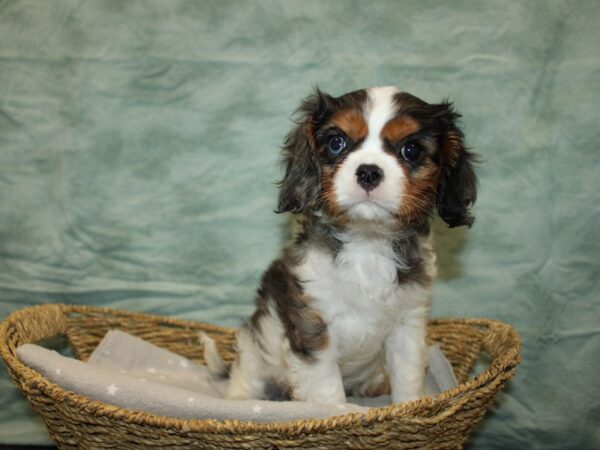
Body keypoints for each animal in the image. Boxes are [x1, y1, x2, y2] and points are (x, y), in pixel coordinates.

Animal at [205, 85, 478, 404]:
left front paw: (409, 407)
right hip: (255, 352)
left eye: (411, 149)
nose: (369, 171)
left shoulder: (407, 323)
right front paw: (338, 412)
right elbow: (327, 391)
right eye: (337, 143)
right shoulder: (312, 323)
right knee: (247, 379)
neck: (367, 243)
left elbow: (408, 377)